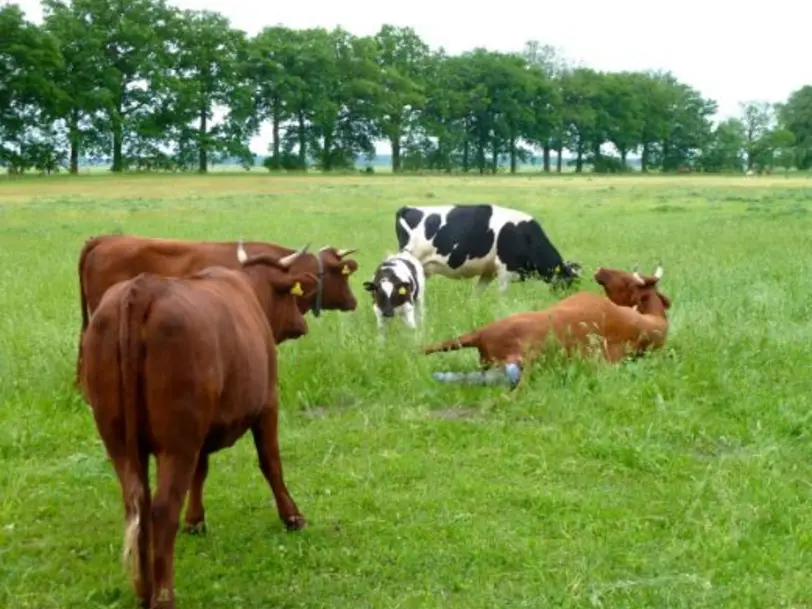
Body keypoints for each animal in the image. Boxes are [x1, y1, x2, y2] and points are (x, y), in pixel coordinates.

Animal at [77, 245, 318, 604]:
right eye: (290, 297)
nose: (302, 324)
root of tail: (141, 289)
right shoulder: (267, 405)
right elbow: (271, 463)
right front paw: (292, 516)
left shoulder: (201, 432)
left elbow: (200, 473)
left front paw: (194, 520)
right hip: (177, 442)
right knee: (162, 510)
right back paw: (163, 596)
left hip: (119, 441)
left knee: (137, 505)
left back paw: (144, 588)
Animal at [394, 203, 580, 294]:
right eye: (569, 281)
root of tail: (407, 208)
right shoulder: (505, 269)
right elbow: (502, 295)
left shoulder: (488, 272)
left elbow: (477, 293)